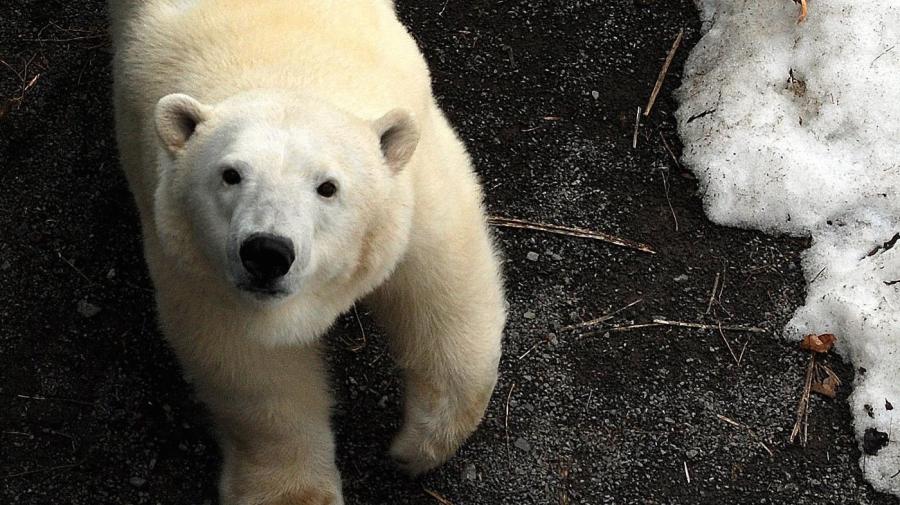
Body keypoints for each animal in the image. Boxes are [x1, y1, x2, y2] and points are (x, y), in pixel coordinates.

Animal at [108, 1, 506, 503]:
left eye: (327, 187)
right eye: (231, 175)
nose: (267, 253)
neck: (288, 68)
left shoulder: (411, 188)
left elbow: (444, 285)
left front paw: (419, 447)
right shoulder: (195, 258)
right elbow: (251, 363)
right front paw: (294, 491)